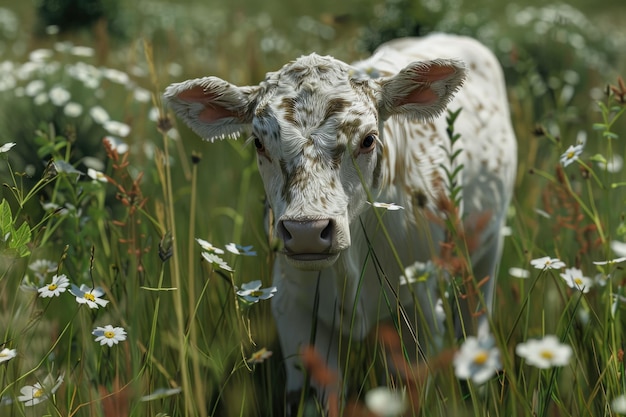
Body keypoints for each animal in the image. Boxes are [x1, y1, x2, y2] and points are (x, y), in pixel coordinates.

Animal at [163, 32, 516, 410]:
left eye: (368, 139)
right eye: (258, 142)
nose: (306, 231)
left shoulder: (420, 307)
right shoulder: (293, 310)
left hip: (486, 253)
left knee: (476, 315)